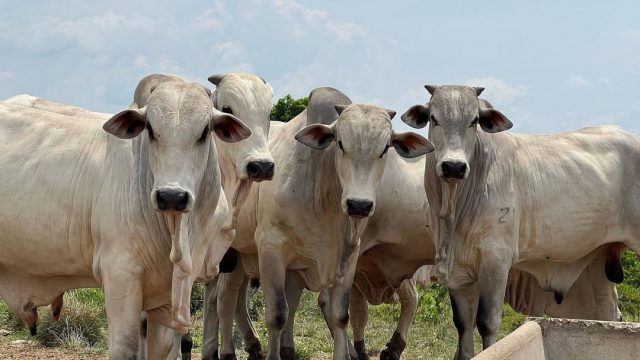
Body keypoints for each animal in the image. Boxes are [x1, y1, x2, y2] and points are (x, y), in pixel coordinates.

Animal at [0, 80, 252, 358]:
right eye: (150, 129)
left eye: (205, 131)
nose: (171, 196)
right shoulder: (120, 274)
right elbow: (127, 347)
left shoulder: (165, 296)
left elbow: (161, 349)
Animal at [402, 85, 636, 360]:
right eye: (434, 118)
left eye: (474, 121)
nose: (454, 167)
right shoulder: (458, 272)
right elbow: (463, 324)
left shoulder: (496, 261)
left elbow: (487, 322)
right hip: (598, 262)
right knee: (607, 312)